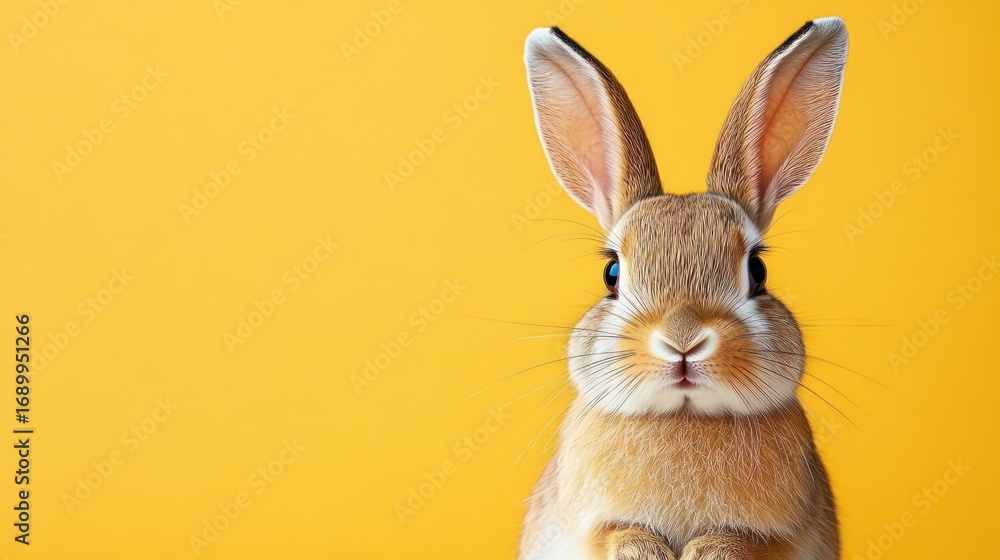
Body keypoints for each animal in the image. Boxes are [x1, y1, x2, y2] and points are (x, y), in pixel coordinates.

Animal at [518, 16, 848, 560]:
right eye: (611, 275)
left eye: (758, 271)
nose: (683, 340)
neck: (684, 417)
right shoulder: (590, 527)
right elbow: (619, 534)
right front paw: (648, 550)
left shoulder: (779, 538)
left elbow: (737, 542)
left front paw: (701, 550)